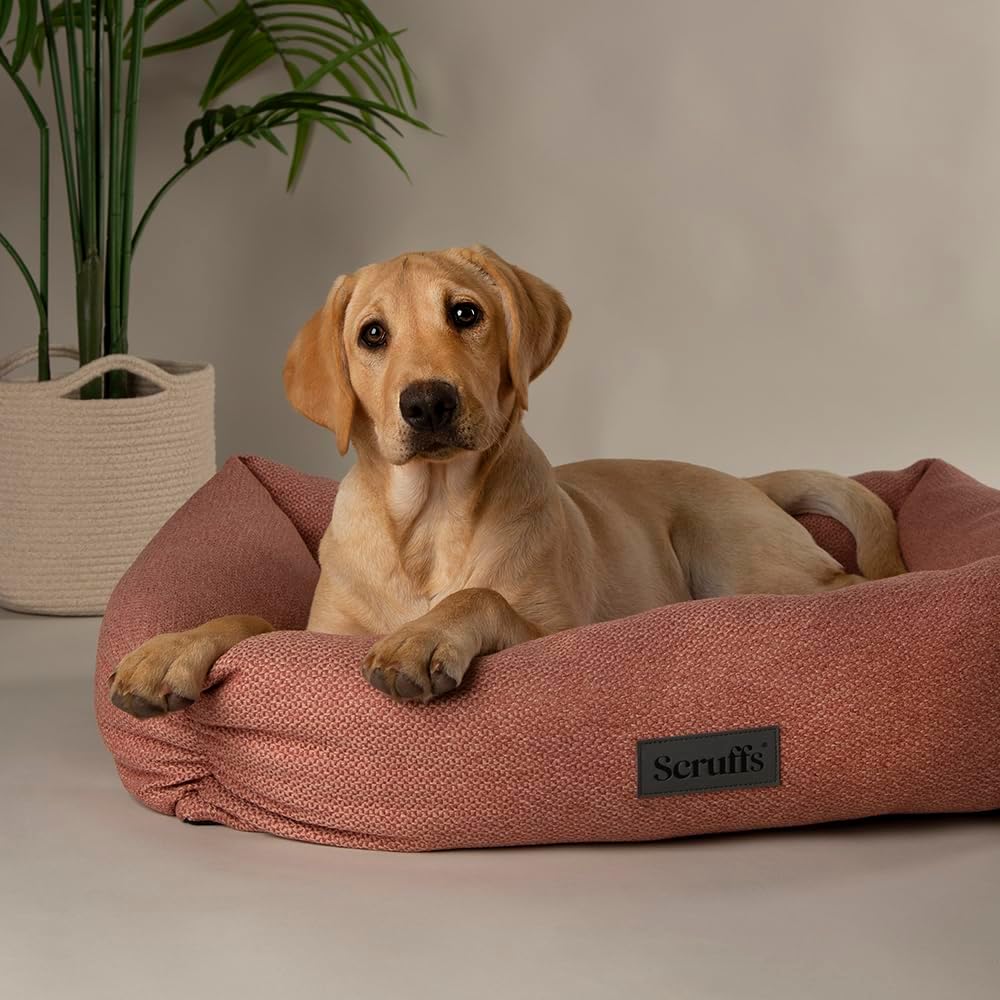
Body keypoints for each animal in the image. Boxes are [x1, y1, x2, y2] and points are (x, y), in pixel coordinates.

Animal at [109, 245, 905, 717]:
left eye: (466, 313)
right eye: (372, 334)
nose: (427, 403)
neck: (429, 521)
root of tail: (748, 479)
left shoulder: (554, 633)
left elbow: (480, 595)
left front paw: (425, 638)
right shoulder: (319, 634)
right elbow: (245, 618)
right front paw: (168, 650)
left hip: (740, 561)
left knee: (852, 589)